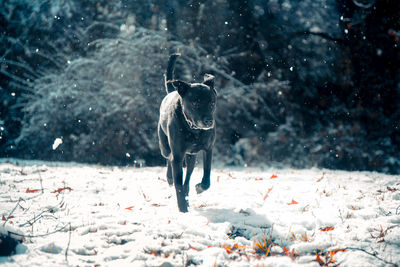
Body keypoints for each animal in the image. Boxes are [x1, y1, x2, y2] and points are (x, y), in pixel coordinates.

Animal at [158, 54, 217, 214]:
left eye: (212, 103)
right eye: (196, 103)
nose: (209, 121)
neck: (194, 130)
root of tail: (172, 91)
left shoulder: (208, 149)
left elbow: (207, 176)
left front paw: (200, 187)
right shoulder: (178, 155)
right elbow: (178, 182)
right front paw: (182, 209)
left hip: (191, 156)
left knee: (188, 176)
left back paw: (188, 192)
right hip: (165, 146)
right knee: (168, 158)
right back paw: (170, 178)